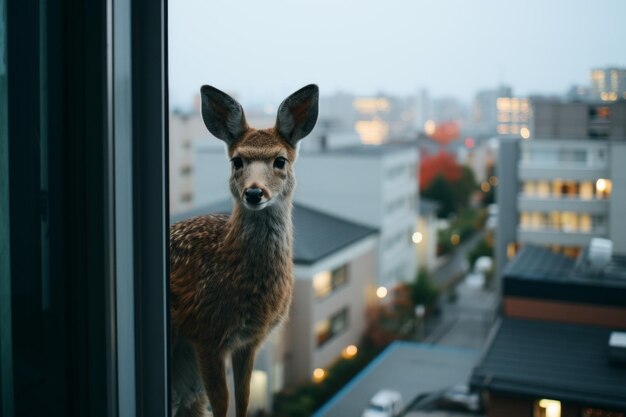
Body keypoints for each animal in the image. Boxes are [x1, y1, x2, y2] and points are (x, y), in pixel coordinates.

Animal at [169, 82, 320, 416]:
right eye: (236, 161)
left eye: (280, 160)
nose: (254, 192)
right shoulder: (206, 335)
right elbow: (223, 404)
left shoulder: (250, 341)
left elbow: (244, 399)